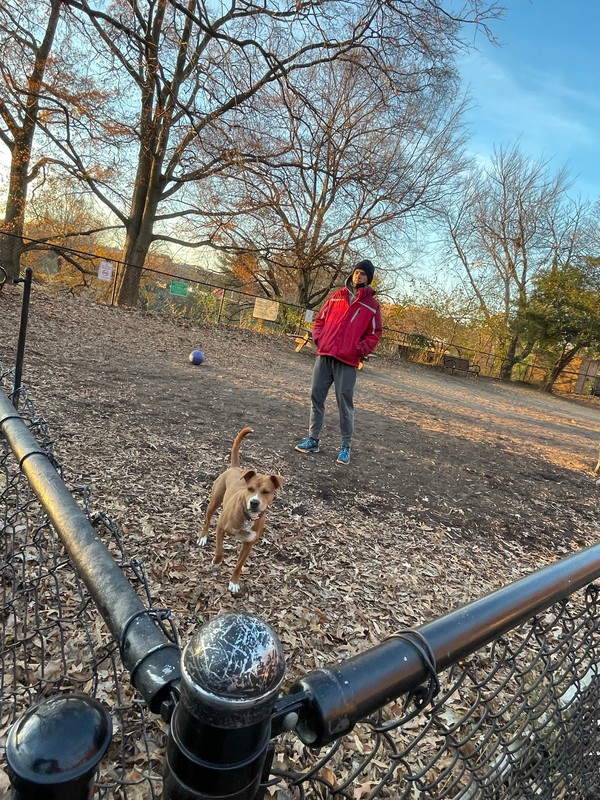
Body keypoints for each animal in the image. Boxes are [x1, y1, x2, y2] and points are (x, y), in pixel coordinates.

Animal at [198, 424, 284, 592]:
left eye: (266, 492)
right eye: (249, 488)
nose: (254, 502)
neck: (247, 517)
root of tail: (235, 468)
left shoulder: (248, 544)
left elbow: (239, 565)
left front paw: (234, 582)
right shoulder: (220, 528)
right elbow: (219, 551)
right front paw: (216, 563)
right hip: (214, 502)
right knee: (207, 519)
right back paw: (203, 537)